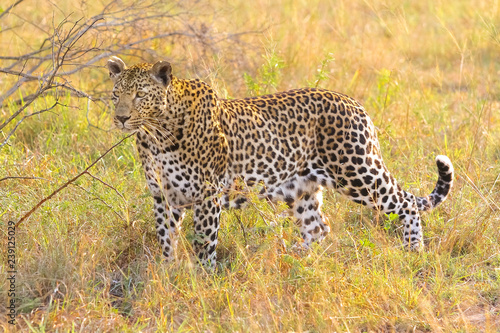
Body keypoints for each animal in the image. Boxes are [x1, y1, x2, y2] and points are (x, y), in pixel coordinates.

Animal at [107, 55, 456, 266]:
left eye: (140, 95)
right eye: (115, 94)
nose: (121, 118)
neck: (157, 133)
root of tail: (354, 103)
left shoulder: (206, 194)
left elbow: (204, 242)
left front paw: (202, 280)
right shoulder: (162, 196)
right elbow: (166, 239)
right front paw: (167, 273)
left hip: (357, 173)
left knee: (407, 202)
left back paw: (414, 252)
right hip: (301, 188)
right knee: (318, 227)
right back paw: (300, 261)